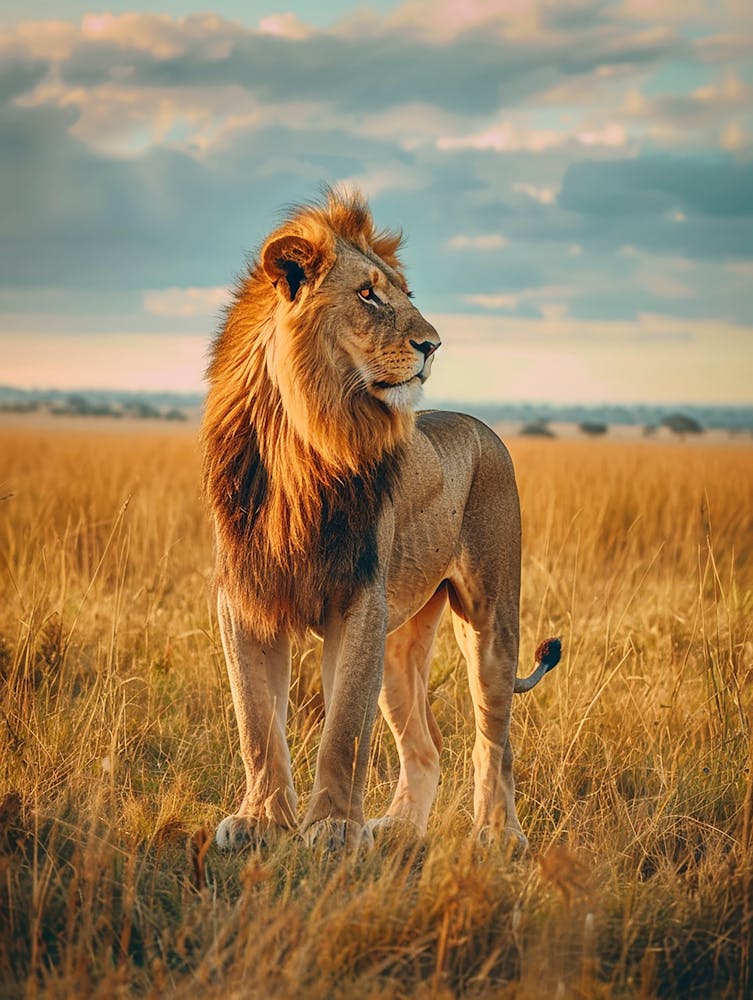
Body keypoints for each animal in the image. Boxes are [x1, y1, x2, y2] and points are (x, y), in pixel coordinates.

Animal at [202, 189, 560, 852]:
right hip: (400, 644)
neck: (303, 442)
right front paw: (262, 821)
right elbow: (256, 721)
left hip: (491, 619)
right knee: (426, 743)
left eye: (406, 294)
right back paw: (397, 828)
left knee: (494, 738)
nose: (433, 345)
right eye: (368, 295)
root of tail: (481, 426)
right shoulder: (245, 598)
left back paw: (497, 834)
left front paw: (335, 828)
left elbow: (344, 727)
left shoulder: (359, 600)